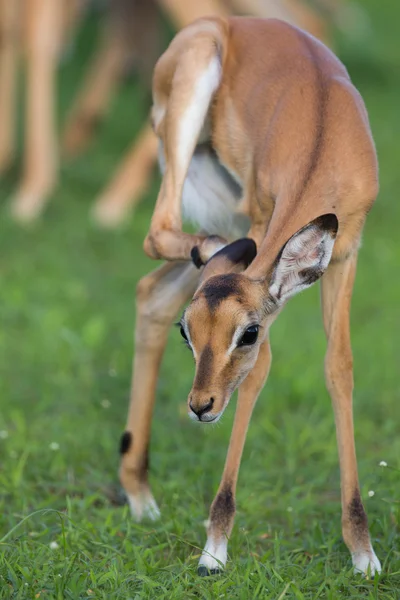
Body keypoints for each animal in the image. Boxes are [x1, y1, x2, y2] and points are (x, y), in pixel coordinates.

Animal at [119, 14, 382, 576]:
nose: (200, 406)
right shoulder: (266, 227)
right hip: (199, 149)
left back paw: (141, 497)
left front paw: (364, 553)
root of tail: (225, 22)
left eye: (248, 332)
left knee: (152, 293)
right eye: (188, 334)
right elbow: (260, 374)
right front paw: (214, 550)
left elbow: (339, 369)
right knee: (157, 233)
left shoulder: (345, 256)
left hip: (228, 213)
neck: (323, 136)